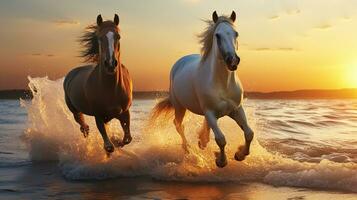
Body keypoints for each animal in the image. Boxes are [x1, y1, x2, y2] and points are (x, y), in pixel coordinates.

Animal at [63, 14, 132, 155]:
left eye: (118, 36)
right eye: (99, 38)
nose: (110, 64)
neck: (111, 89)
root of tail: (71, 74)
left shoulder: (125, 112)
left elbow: (127, 139)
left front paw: (117, 141)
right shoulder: (98, 115)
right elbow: (109, 146)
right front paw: (112, 144)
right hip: (75, 111)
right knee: (83, 126)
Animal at [150, 10, 253, 167]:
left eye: (236, 33)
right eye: (217, 35)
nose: (233, 60)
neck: (223, 84)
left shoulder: (236, 109)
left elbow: (249, 133)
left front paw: (240, 155)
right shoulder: (209, 112)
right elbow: (221, 139)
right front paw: (221, 161)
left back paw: (202, 141)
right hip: (179, 106)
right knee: (179, 125)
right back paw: (187, 149)